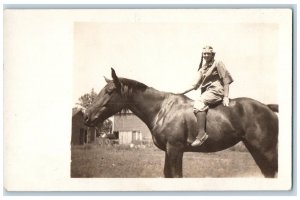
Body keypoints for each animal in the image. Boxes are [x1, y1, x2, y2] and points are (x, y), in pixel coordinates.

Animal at [82, 69, 278, 178]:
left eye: (109, 91)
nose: (86, 116)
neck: (162, 109)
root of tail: (268, 108)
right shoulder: (171, 151)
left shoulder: (175, 149)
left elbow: (176, 175)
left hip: (266, 150)